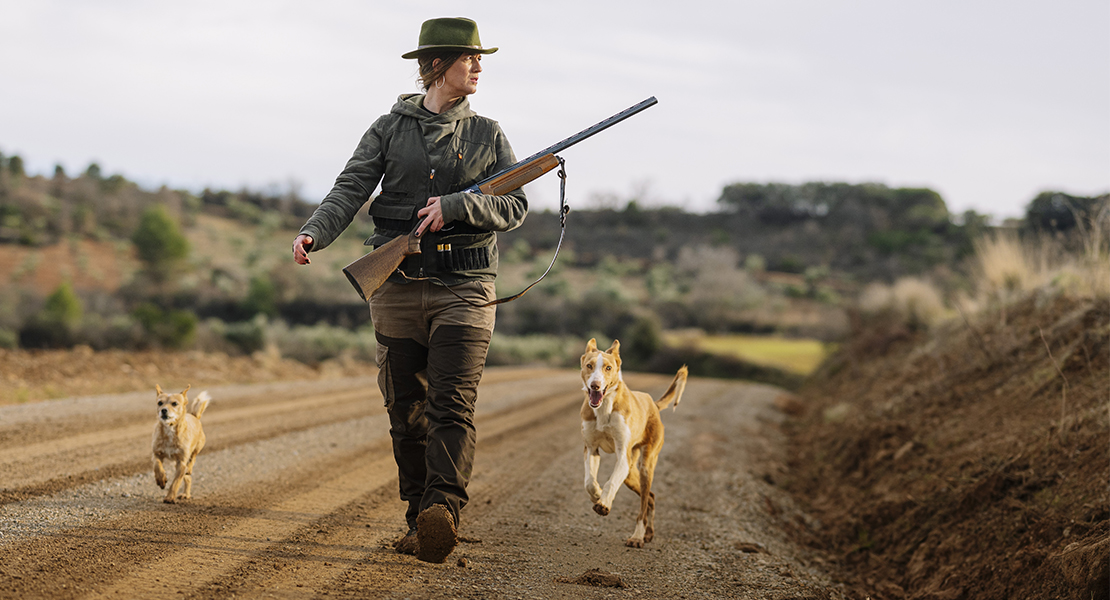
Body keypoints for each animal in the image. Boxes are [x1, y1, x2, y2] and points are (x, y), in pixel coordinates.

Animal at [581, 339, 683, 545]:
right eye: (589, 365)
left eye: (608, 368)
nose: (595, 386)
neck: (604, 408)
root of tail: (653, 404)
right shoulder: (591, 449)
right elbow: (589, 481)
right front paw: (597, 494)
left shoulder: (622, 456)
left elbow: (611, 482)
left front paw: (603, 503)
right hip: (630, 473)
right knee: (650, 496)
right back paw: (648, 533)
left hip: (645, 465)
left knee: (644, 503)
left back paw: (637, 536)